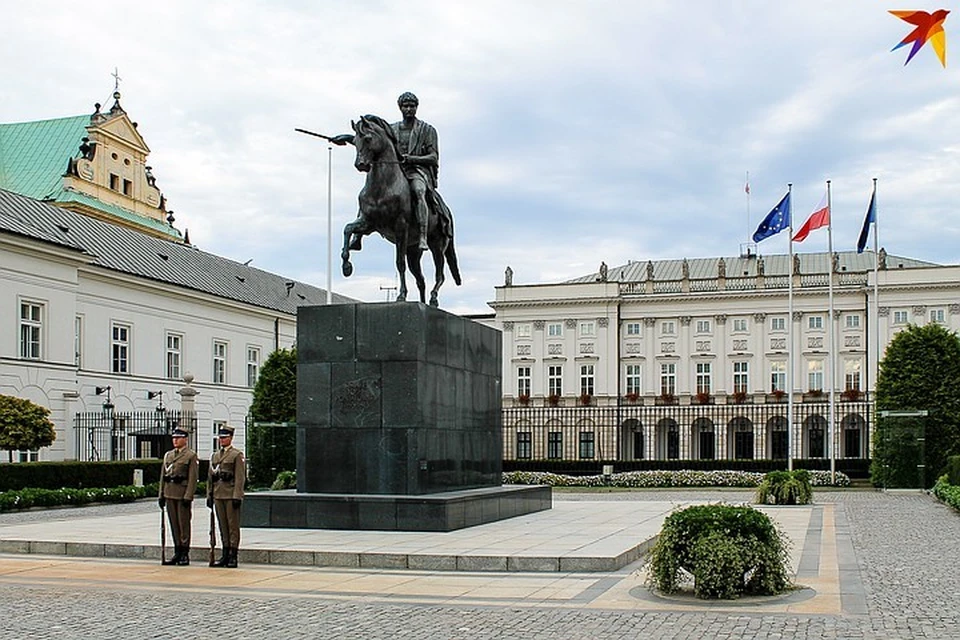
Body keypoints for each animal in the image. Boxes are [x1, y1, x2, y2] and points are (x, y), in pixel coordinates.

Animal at [342, 115, 462, 308]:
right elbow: (347, 229)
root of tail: (448, 212)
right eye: (354, 141)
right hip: (413, 252)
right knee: (421, 280)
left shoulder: (401, 228)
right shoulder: (368, 223)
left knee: (440, 274)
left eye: (367, 138)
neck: (383, 187)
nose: (360, 164)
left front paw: (401, 295)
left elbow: (399, 263)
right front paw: (346, 265)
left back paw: (433, 299)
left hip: (437, 245)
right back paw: (423, 303)